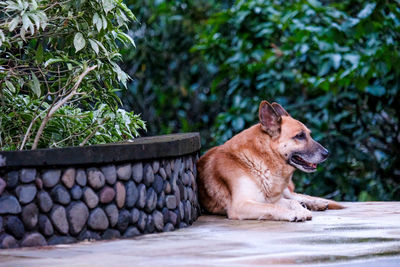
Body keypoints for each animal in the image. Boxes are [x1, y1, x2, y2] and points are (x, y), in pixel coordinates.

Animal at [197, 100, 344, 222]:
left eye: (308, 134)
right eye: (300, 136)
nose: (327, 153)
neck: (260, 160)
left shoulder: (271, 199)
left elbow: (292, 202)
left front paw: (302, 209)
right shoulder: (241, 205)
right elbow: (273, 207)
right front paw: (296, 213)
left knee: (295, 196)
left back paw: (316, 203)